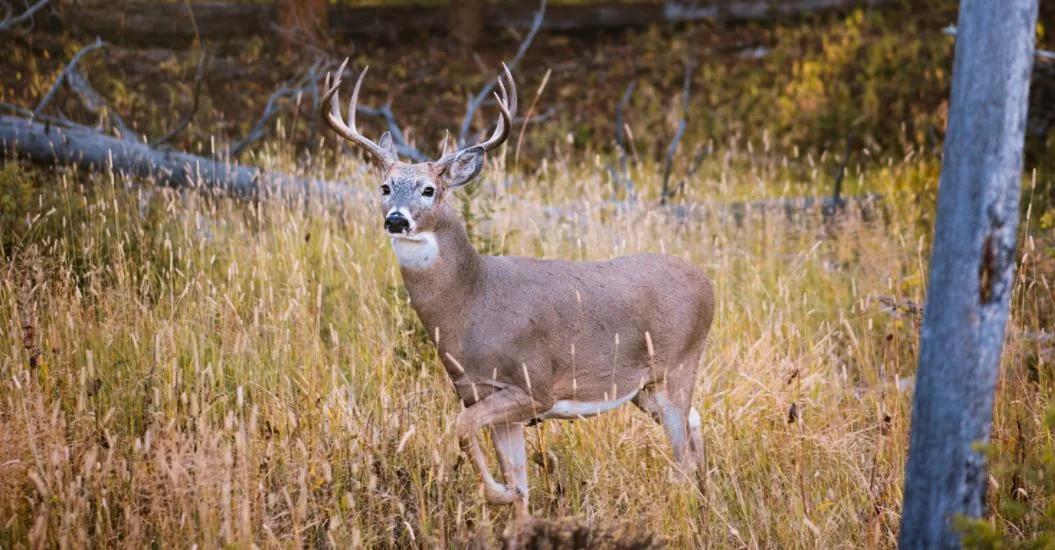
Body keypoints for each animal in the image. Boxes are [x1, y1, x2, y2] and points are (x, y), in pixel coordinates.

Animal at [321, 59, 715, 518]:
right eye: (385, 187)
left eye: (429, 190)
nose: (396, 219)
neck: (472, 302)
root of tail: (708, 283)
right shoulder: (478, 392)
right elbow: (519, 478)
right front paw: (515, 508)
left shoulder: (533, 385)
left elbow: (464, 431)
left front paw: (498, 493)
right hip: (644, 387)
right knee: (696, 426)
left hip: (678, 365)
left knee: (683, 453)